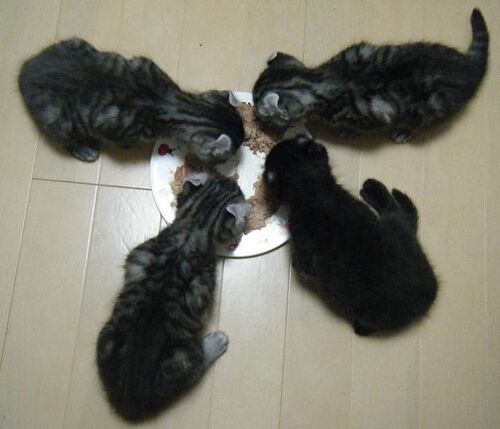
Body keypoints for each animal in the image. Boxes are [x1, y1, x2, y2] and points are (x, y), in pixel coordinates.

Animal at [18, 38, 244, 163]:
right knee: (66, 140)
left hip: (76, 42)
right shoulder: (116, 130)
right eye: (232, 152)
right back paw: (84, 150)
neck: (172, 103)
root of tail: (23, 73)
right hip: (58, 122)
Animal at [96, 173, 250, 421]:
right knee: (197, 366)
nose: (230, 177)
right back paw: (216, 342)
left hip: (105, 337)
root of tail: (130, 403)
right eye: (236, 188)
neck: (193, 225)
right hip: (186, 357)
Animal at [253, 9, 488, 142]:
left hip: (433, 108)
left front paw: (347, 132)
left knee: (419, 122)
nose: (256, 117)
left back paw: (403, 132)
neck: (322, 80)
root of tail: (468, 66)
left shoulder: (373, 119)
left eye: (262, 114)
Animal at [264, 136, 438, 335]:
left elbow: (303, 266)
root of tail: (428, 295)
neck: (312, 192)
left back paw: (373, 187)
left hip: (392, 227)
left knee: (396, 211)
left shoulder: (303, 251)